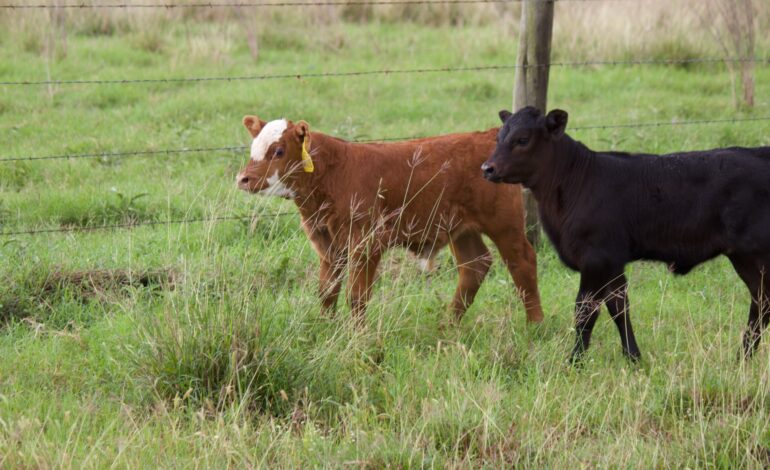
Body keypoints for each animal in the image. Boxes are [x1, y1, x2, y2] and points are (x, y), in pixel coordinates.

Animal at [234, 115, 540, 324]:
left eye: (278, 150)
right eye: (253, 148)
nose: (243, 179)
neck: (333, 173)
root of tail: (485, 135)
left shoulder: (366, 242)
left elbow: (357, 296)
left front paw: (357, 335)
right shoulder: (327, 243)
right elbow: (327, 290)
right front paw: (324, 328)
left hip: (505, 224)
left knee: (522, 263)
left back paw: (534, 325)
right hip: (461, 228)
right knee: (474, 266)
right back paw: (448, 325)